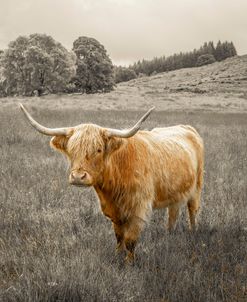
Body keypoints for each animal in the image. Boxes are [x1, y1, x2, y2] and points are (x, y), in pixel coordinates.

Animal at [19, 104, 205, 262]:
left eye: (98, 149)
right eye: (71, 150)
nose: (78, 177)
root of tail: (185, 127)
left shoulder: (138, 209)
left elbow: (130, 240)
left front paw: (129, 263)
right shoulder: (114, 211)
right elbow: (119, 236)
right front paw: (117, 256)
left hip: (197, 186)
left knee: (192, 209)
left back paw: (193, 232)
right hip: (175, 191)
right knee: (173, 213)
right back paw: (169, 234)